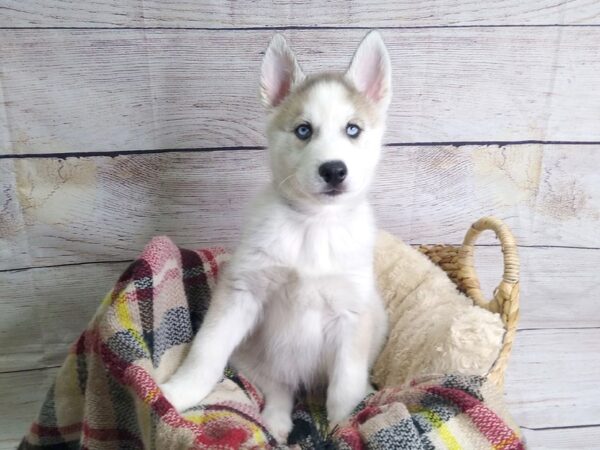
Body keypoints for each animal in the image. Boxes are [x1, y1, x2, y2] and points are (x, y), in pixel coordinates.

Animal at [162, 31, 392, 442]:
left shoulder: (353, 314)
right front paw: (177, 393)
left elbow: (344, 386)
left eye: (352, 129)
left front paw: (343, 425)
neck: (314, 225)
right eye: (303, 130)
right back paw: (276, 422)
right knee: (279, 388)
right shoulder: (241, 293)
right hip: (252, 356)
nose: (334, 170)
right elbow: (206, 353)